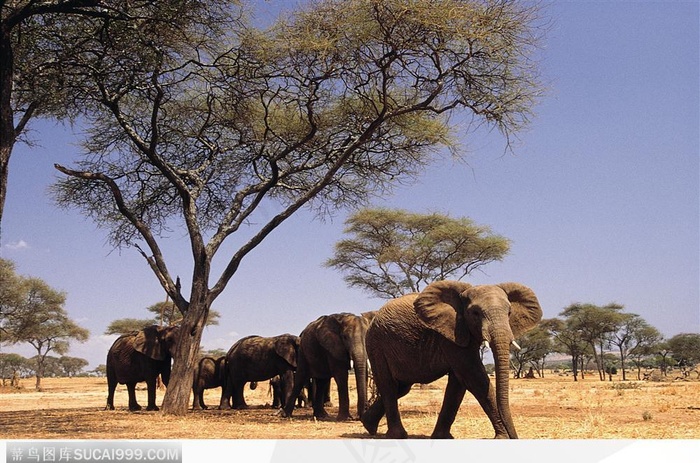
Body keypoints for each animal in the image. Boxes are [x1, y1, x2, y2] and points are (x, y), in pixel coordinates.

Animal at [360, 280, 540, 440]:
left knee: (402, 387)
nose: (515, 437)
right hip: (376, 345)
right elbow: (474, 378)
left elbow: (458, 384)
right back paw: (396, 435)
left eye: (509, 313)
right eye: (475, 313)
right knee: (389, 385)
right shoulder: (451, 335)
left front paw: (442, 437)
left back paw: (368, 425)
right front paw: (503, 438)